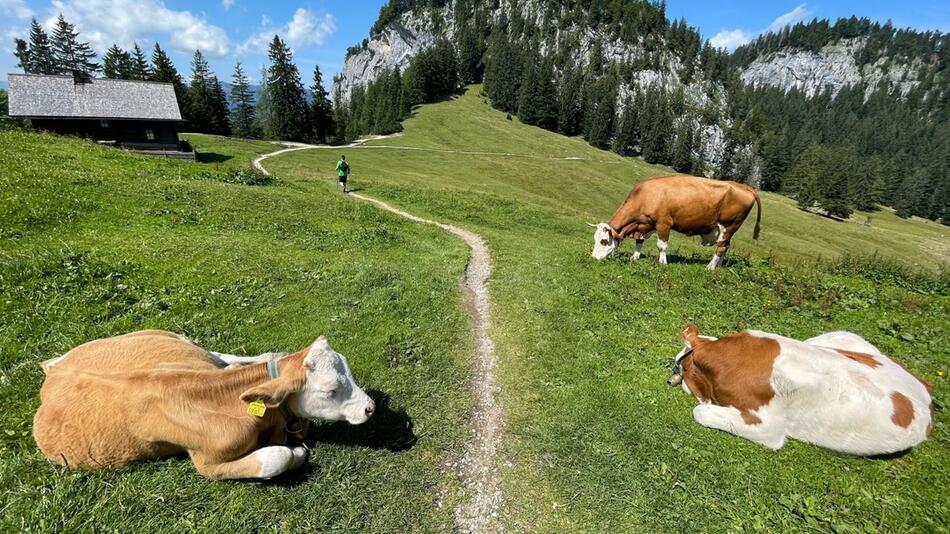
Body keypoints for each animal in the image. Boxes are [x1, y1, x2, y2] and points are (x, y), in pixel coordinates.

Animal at [33, 330, 376, 482]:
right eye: (332, 389)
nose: (370, 407)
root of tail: (55, 369)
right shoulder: (207, 463)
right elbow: (278, 457)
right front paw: (297, 453)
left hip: (181, 345)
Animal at [592, 176, 764, 270]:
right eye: (595, 239)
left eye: (604, 240)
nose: (593, 258)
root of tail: (743, 186)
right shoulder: (645, 224)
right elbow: (639, 240)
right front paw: (635, 257)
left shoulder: (664, 223)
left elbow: (661, 245)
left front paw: (662, 263)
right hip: (729, 230)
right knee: (726, 246)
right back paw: (718, 266)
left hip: (729, 225)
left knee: (721, 247)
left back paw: (709, 267)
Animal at [668, 326, 936, 456]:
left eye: (682, 366)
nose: (671, 379)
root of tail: (924, 389)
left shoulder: (768, 428)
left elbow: (700, 412)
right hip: (841, 337)